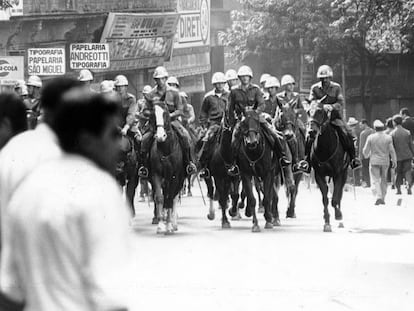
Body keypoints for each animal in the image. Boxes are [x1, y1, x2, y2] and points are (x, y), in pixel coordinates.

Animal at [148, 105, 185, 234]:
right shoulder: (156, 175)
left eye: (166, 114)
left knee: (173, 197)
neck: (165, 149)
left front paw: (168, 225)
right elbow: (160, 198)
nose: (160, 136)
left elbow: (169, 199)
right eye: (153, 115)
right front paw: (160, 225)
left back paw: (173, 224)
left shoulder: (175, 176)